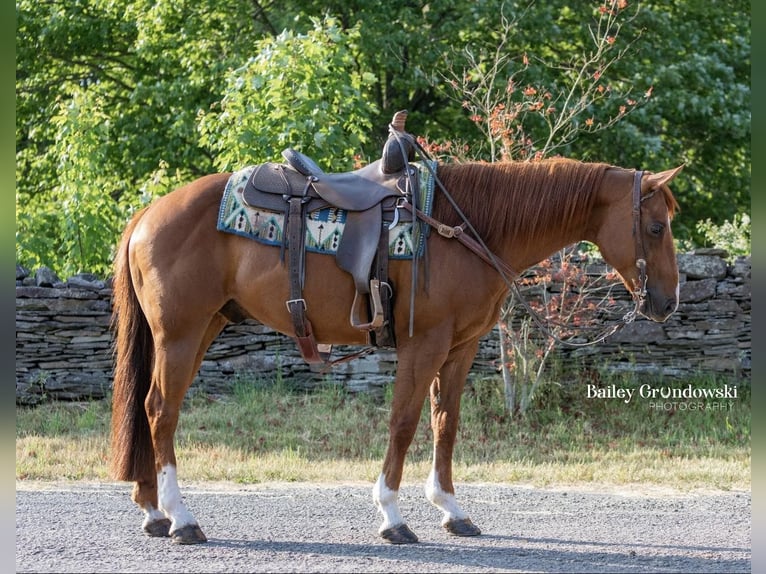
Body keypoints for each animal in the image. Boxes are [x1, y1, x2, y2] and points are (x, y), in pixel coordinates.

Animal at [109, 152, 684, 544]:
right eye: (656, 226)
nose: (667, 302)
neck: (465, 228)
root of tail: (146, 215)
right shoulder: (423, 344)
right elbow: (404, 423)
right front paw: (392, 516)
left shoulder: (460, 348)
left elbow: (445, 423)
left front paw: (452, 510)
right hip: (181, 333)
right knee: (161, 410)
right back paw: (181, 519)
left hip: (203, 327)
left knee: (151, 409)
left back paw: (153, 510)